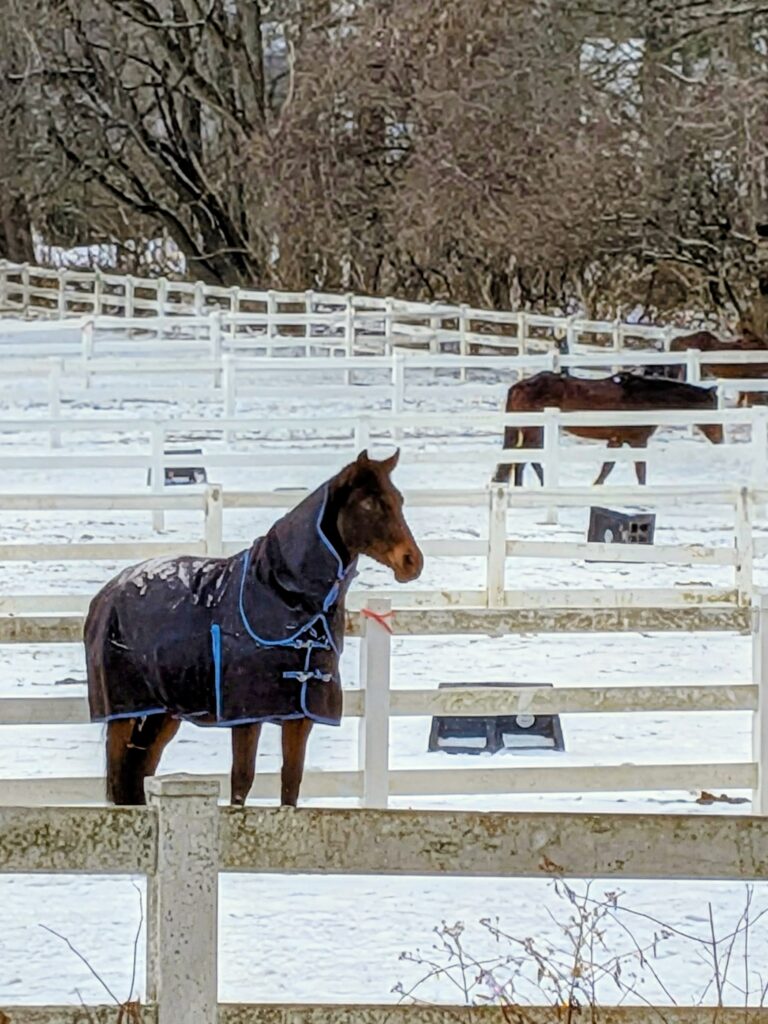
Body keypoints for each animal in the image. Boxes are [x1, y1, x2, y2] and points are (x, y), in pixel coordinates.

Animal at [85, 450, 423, 808]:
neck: (281, 594)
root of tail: (107, 592)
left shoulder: (299, 716)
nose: (412, 561)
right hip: (123, 713)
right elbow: (241, 781)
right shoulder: (246, 715)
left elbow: (291, 783)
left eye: (399, 499)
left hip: (162, 714)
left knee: (138, 773)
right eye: (369, 503)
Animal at [492, 371, 723, 486]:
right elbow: (640, 470)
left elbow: (607, 468)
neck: (644, 398)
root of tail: (519, 386)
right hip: (534, 430)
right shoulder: (638, 441)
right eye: (712, 408)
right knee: (523, 460)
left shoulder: (616, 440)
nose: (720, 438)